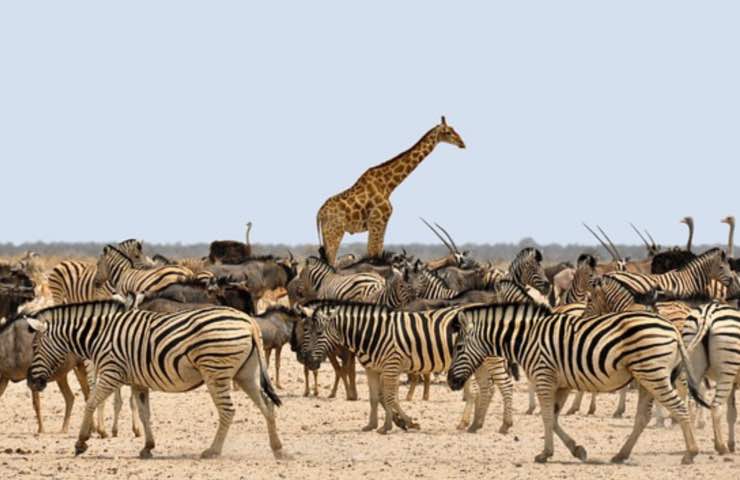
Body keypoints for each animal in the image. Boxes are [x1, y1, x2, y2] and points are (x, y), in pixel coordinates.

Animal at [316, 116, 466, 265]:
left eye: (454, 129)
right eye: (448, 132)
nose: (462, 143)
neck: (388, 186)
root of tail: (319, 214)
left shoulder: (379, 224)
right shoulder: (377, 222)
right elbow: (373, 253)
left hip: (328, 235)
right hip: (334, 233)